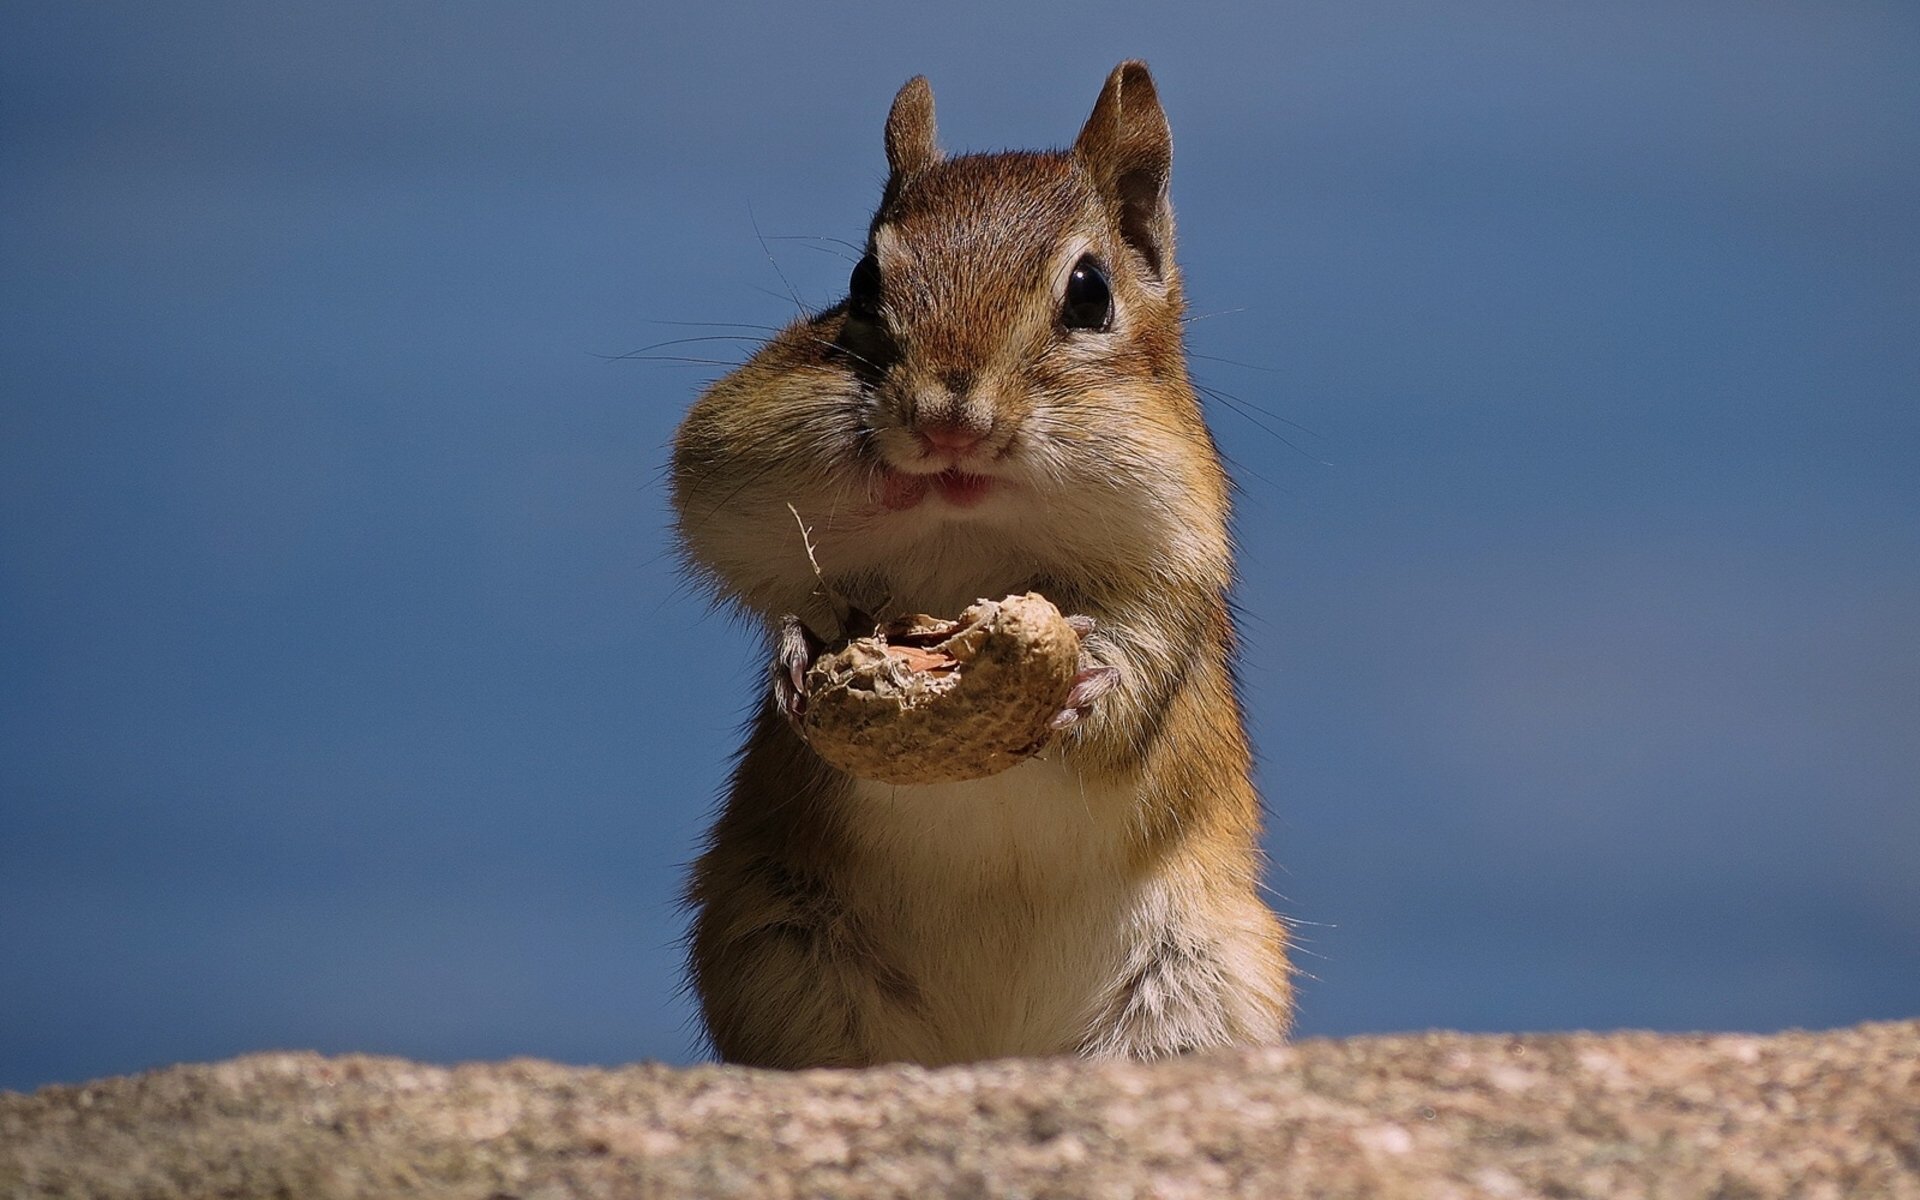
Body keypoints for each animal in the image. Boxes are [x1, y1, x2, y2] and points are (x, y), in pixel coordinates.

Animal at [671, 61, 1292, 1067]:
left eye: (1090, 292)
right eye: (862, 284)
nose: (945, 424)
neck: (971, 530)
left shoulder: (1179, 554)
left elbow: (1141, 666)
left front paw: (1088, 684)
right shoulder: (731, 465)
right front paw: (799, 655)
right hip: (787, 960)